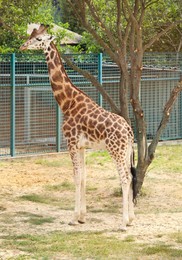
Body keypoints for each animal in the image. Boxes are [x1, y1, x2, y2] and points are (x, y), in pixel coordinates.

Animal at [19, 24, 136, 232]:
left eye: (39, 39)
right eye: (30, 35)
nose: (22, 46)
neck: (67, 102)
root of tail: (129, 132)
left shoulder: (71, 142)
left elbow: (75, 177)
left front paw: (73, 218)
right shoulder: (81, 146)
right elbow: (83, 177)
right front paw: (82, 217)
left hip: (116, 150)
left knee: (124, 178)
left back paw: (123, 223)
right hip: (126, 151)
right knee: (130, 177)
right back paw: (131, 219)